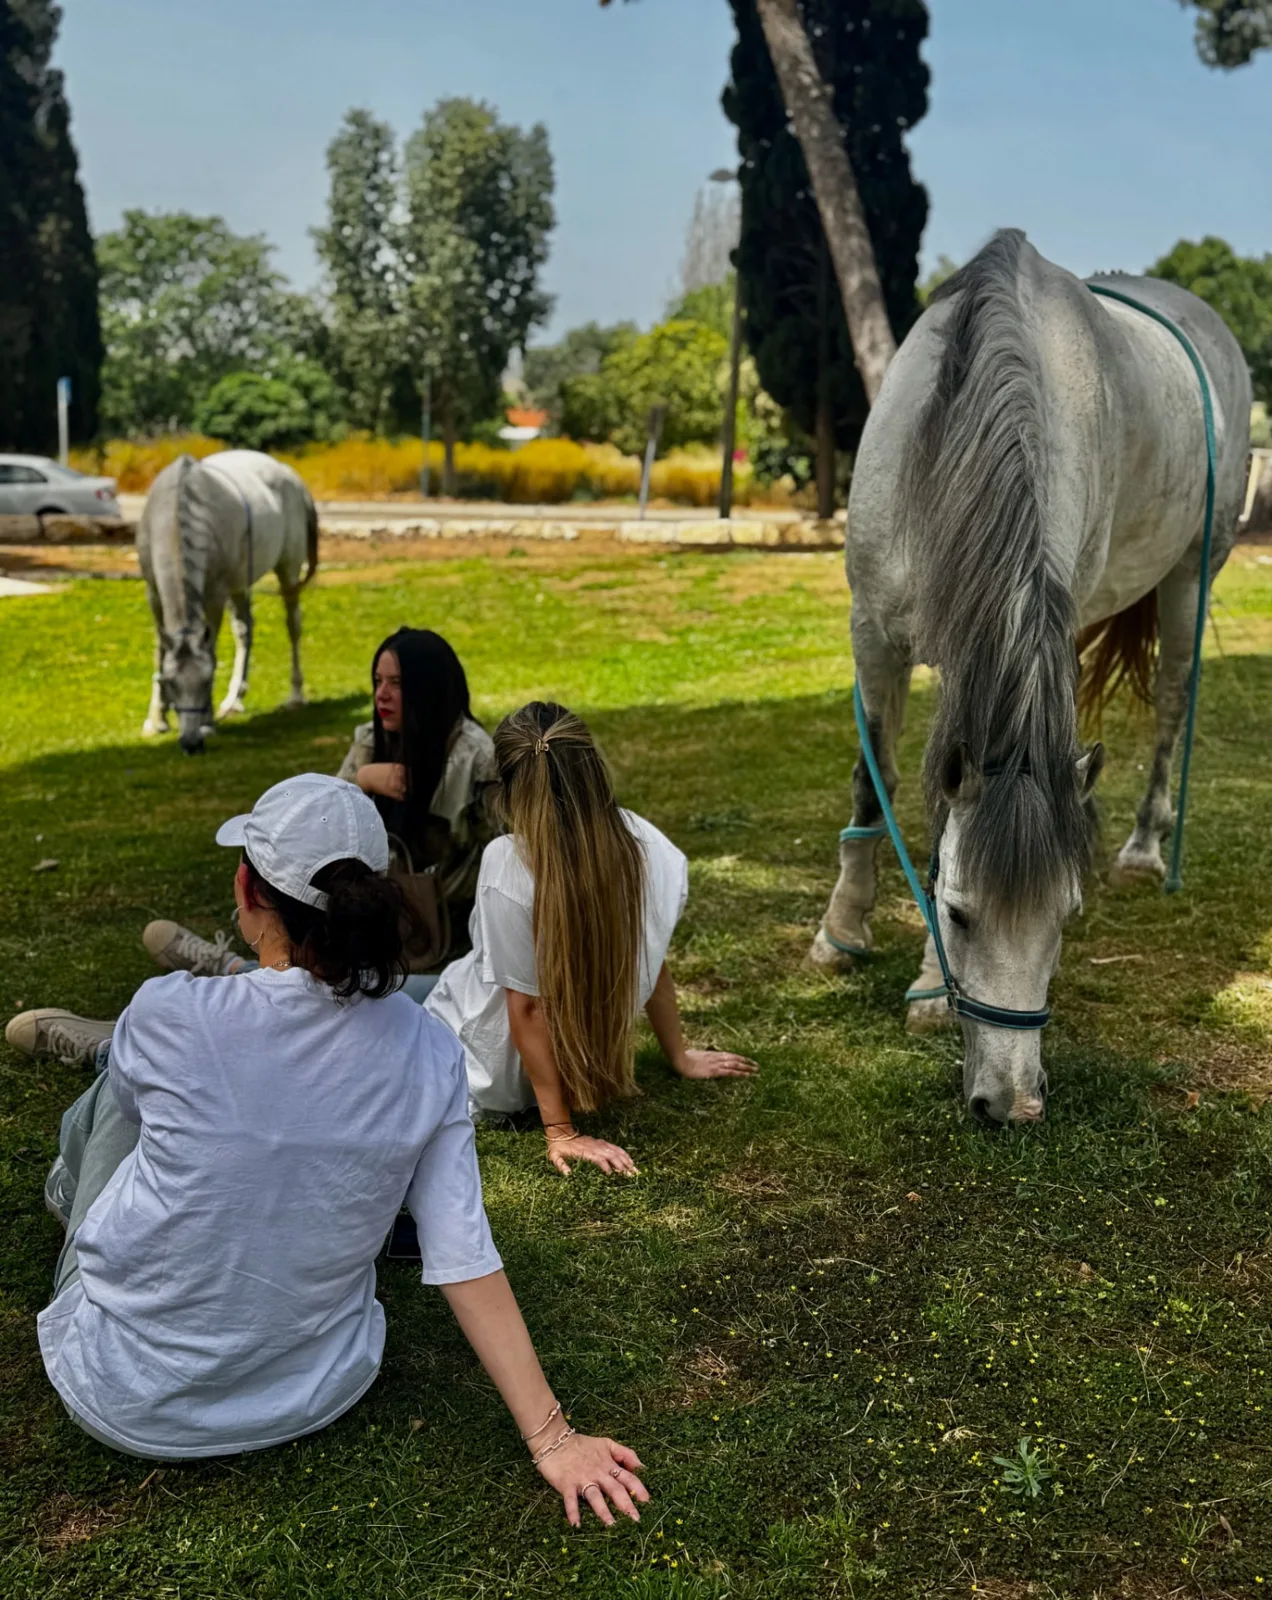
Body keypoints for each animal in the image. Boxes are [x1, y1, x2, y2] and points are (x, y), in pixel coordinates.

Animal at [138, 450, 319, 754]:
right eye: (171, 683)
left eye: (207, 681)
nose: (191, 743)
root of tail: (288, 474)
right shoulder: (154, 593)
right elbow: (159, 653)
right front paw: (156, 720)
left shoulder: (215, 594)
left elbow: (210, 651)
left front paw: (208, 723)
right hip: (240, 584)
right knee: (245, 631)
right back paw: (234, 700)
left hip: (288, 570)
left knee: (293, 625)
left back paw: (295, 695)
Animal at [810, 229, 1251, 1125]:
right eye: (958, 912)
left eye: (1066, 918)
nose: (1012, 1104)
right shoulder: (873, 634)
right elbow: (874, 782)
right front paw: (841, 935)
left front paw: (924, 987)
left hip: (1192, 578)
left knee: (1172, 708)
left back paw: (1146, 847)